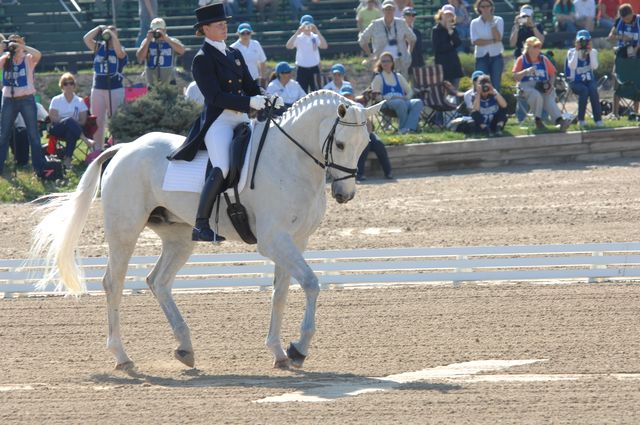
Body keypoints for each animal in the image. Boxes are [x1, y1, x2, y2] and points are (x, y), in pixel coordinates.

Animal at [31, 91, 384, 370]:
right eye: (340, 144)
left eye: (366, 143)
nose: (344, 194)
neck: (291, 159)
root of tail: (124, 148)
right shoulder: (274, 241)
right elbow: (311, 283)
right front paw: (298, 349)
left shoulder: (296, 240)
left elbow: (281, 293)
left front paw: (280, 352)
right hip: (124, 231)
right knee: (113, 284)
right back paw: (122, 356)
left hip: (179, 237)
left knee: (158, 281)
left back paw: (185, 348)